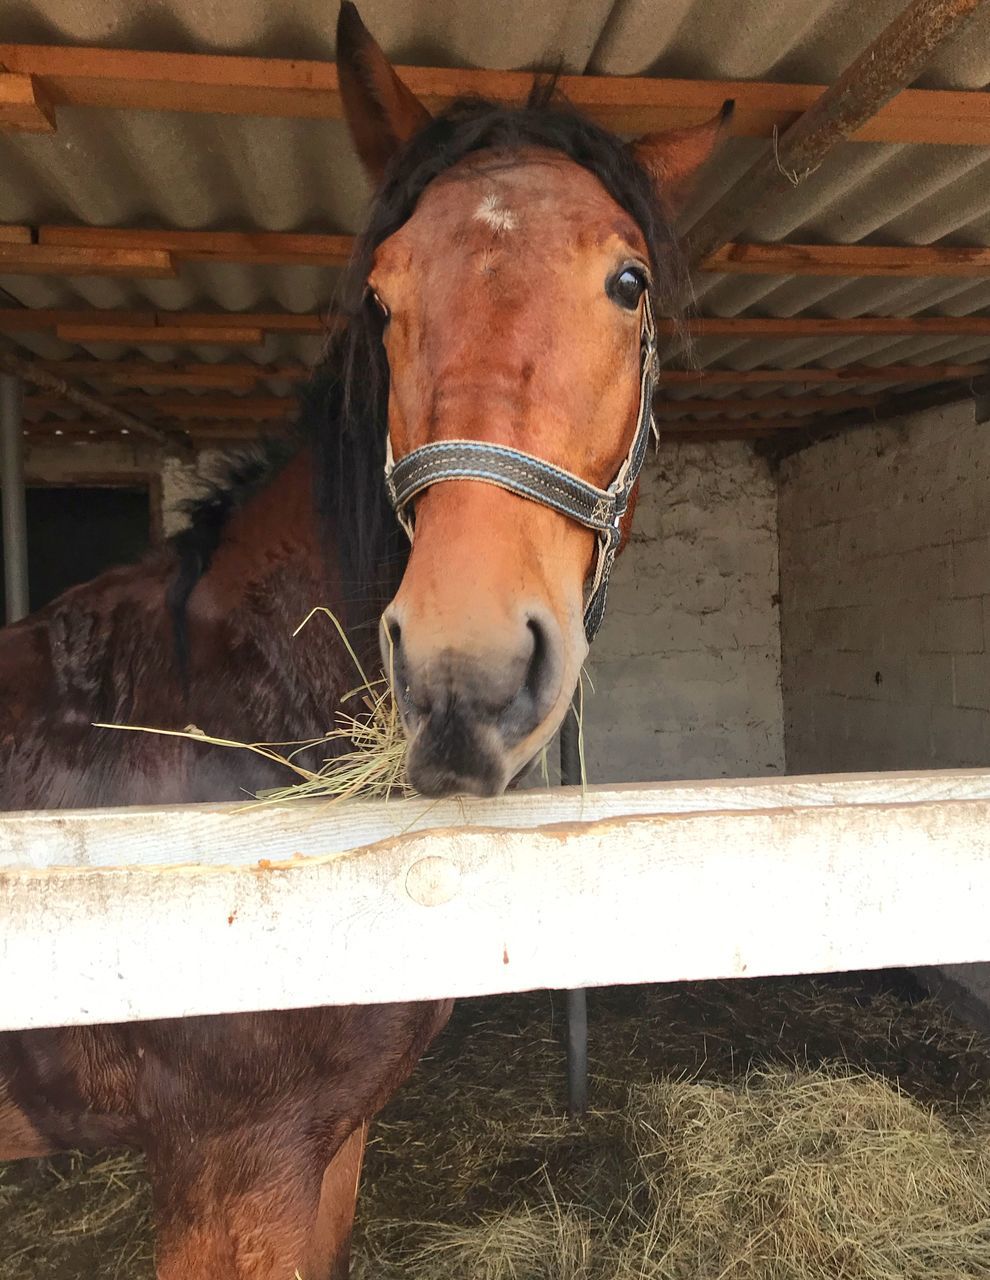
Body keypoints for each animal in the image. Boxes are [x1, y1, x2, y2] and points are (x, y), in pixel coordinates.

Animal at [0, 5, 727, 1274]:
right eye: (382, 297)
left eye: (629, 282)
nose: (461, 671)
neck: (236, 707)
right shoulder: (233, 1166)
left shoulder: (324, 1147)